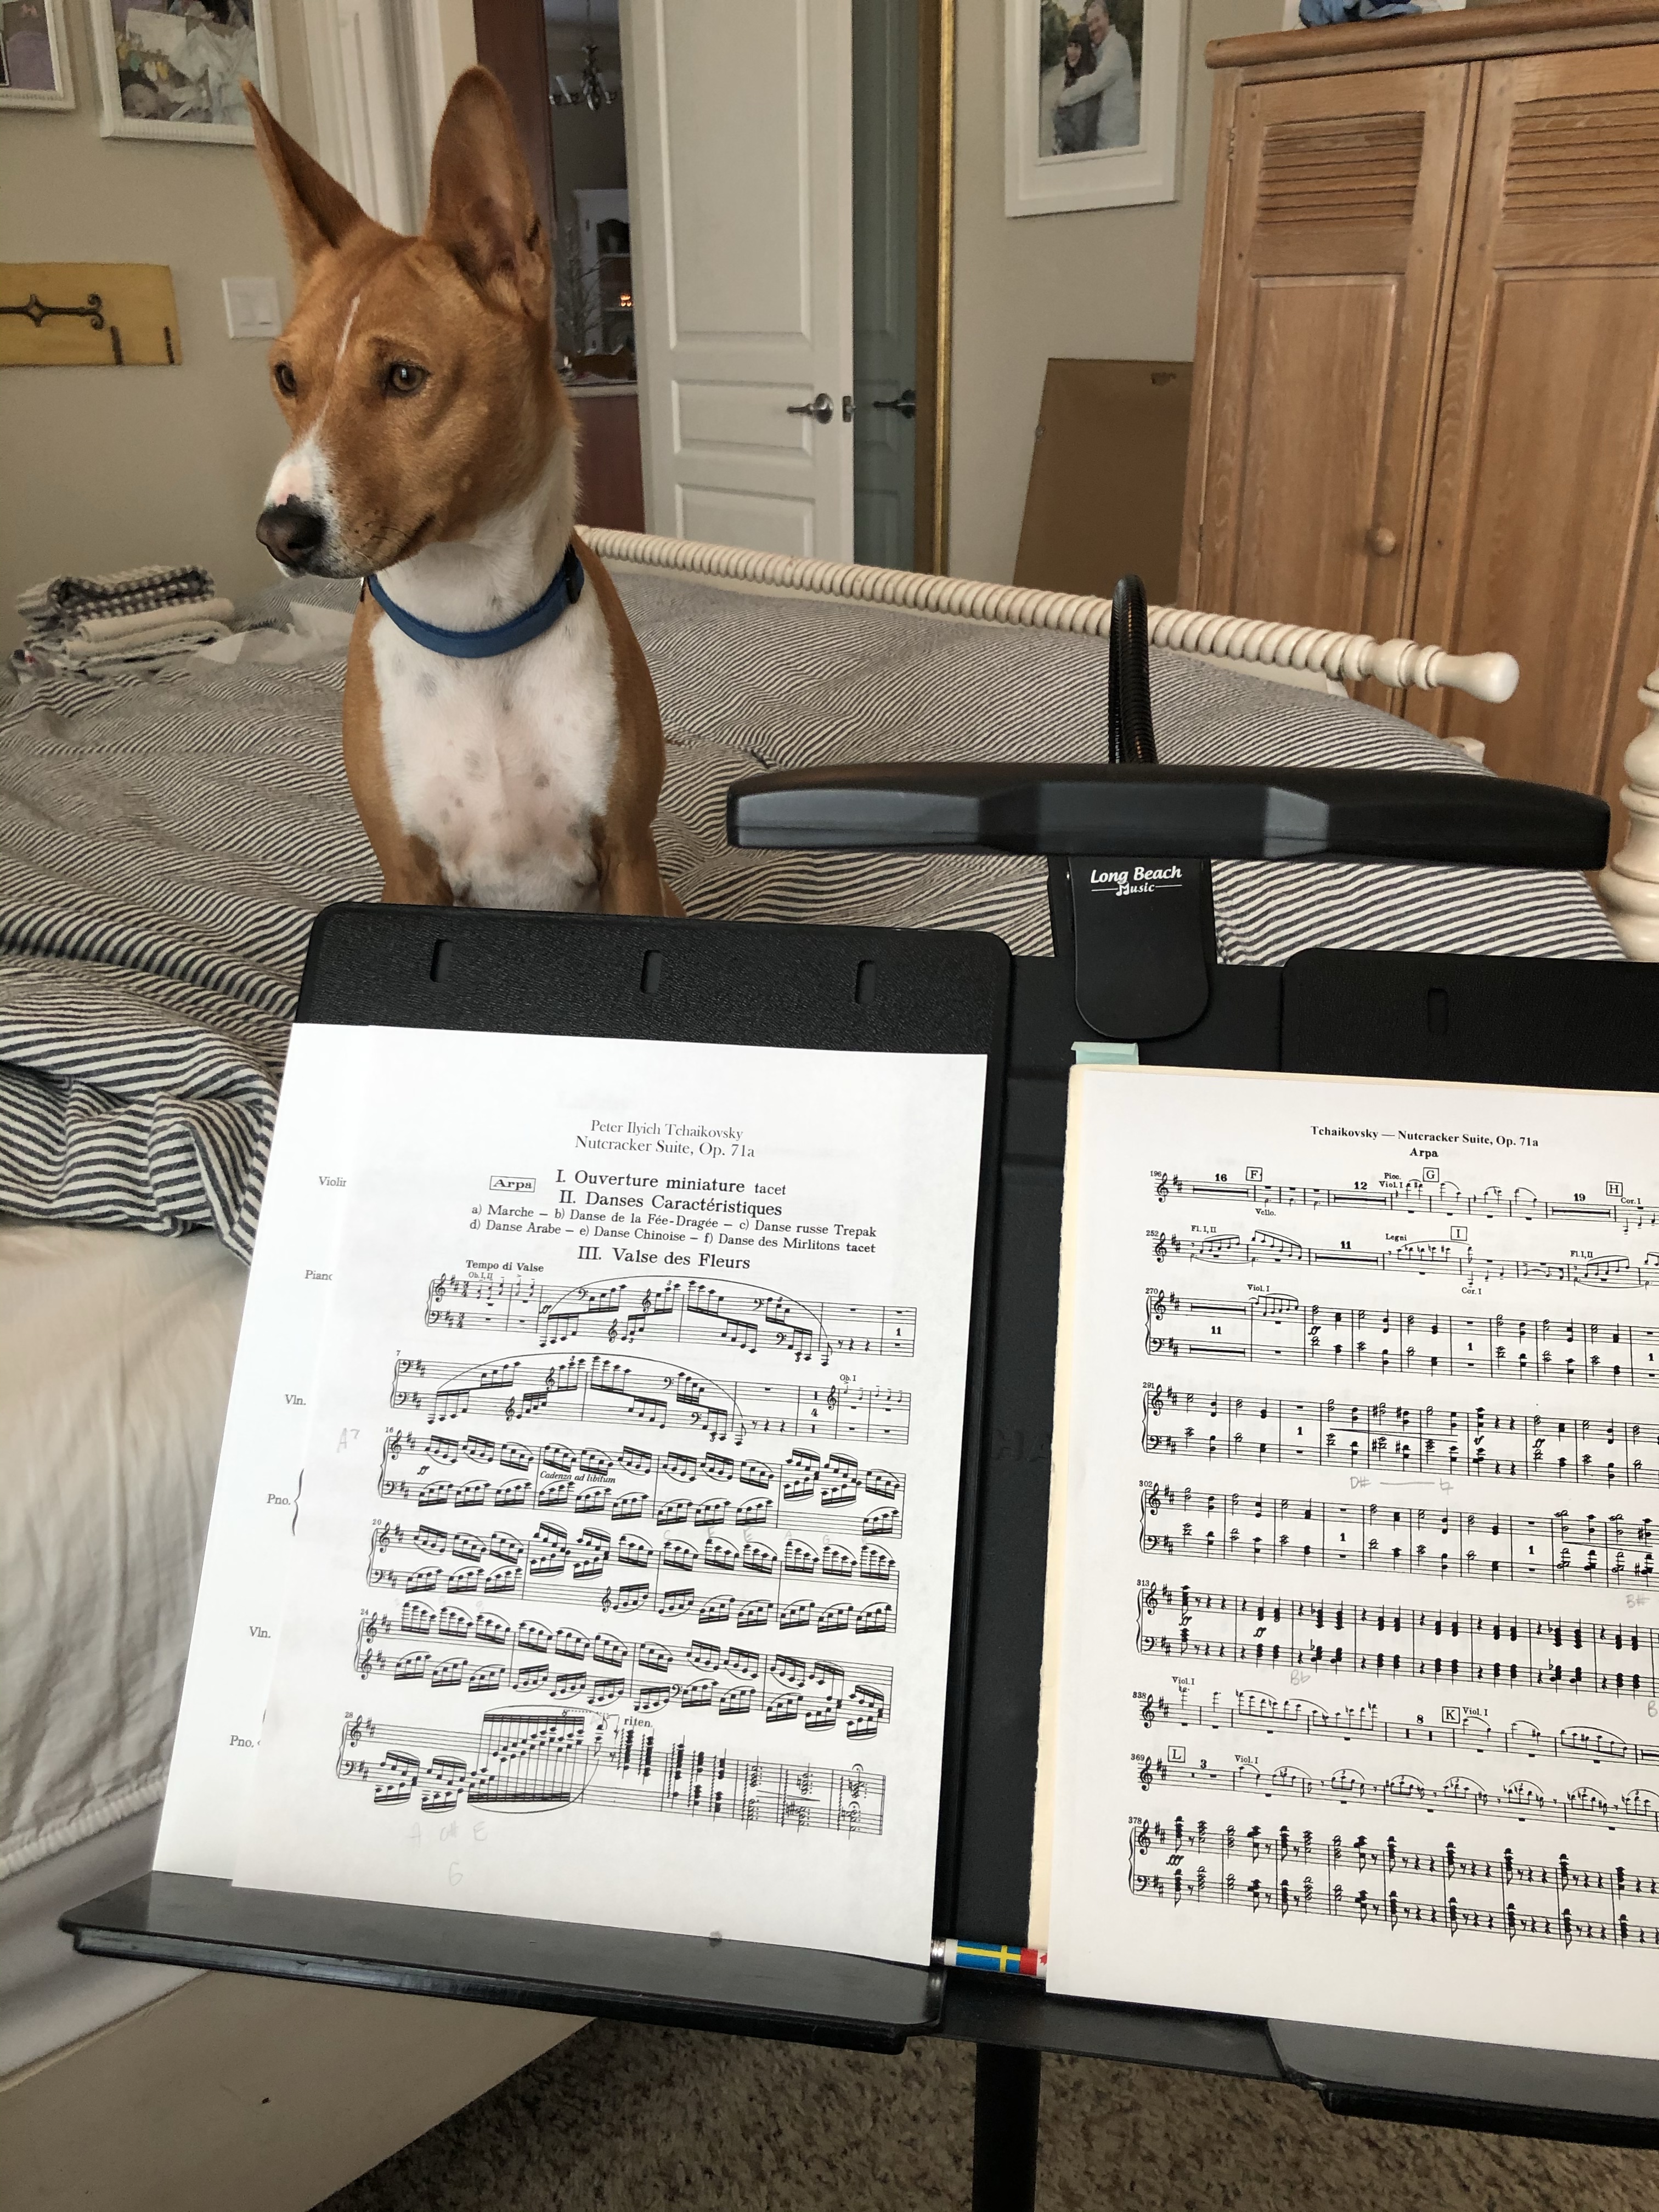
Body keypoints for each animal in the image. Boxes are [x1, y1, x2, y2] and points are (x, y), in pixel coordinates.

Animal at [246, 68, 677, 916]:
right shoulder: (409, 877)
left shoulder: (630, 857)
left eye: (404, 376)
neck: (477, 635)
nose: (280, 531)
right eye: (285, 376)